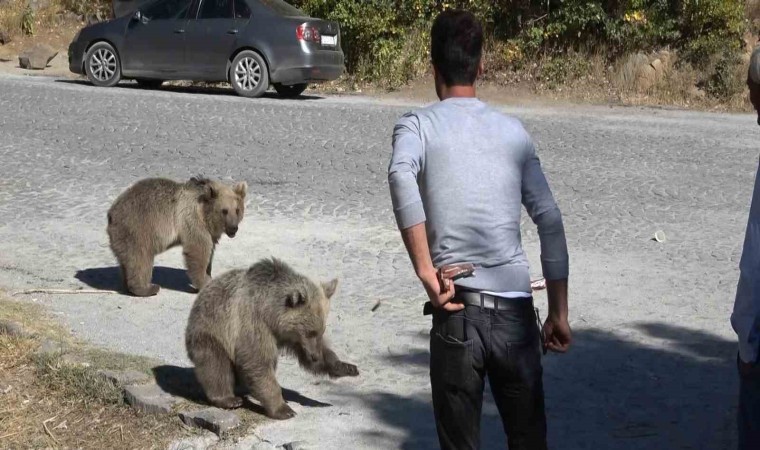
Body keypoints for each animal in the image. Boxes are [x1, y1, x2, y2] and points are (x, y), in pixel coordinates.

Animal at [104, 178, 245, 298]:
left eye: (237, 210)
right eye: (224, 211)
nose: (233, 228)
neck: (204, 214)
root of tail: (111, 213)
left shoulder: (209, 232)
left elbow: (209, 251)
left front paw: (209, 274)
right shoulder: (192, 221)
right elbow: (198, 250)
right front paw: (204, 281)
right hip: (137, 228)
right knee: (140, 258)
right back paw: (148, 288)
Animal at [186, 258, 360, 420]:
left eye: (321, 331)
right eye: (310, 332)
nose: (315, 356)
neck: (270, 313)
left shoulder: (291, 337)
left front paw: (346, 367)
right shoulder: (253, 325)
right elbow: (258, 363)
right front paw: (284, 409)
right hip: (213, 330)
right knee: (216, 365)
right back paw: (229, 399)